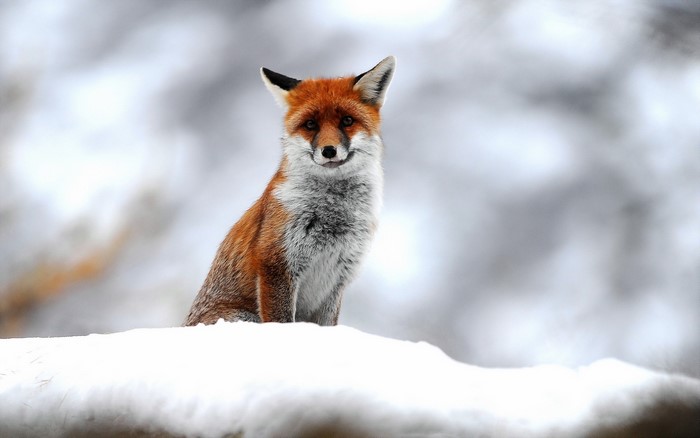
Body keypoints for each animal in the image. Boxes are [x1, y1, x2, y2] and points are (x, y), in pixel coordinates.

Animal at [184, 56, 396, 326]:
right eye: (310, 124)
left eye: (347, 121)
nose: (329, 150)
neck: (334, 216)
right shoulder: (277, 264)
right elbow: (282, 321)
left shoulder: (337, 279)